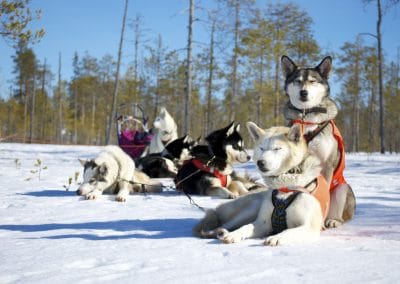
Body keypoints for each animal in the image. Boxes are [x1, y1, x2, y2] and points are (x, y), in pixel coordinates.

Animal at [194, 123, 328, 245]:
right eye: (262, 148)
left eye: (277, 148)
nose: (260, 162)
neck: (285, 187)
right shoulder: (263, 223)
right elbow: (247, 227)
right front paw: (234, 235)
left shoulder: (309, 227)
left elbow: (289, 231)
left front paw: (277, 237)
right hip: (250, 210)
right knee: (224, 225)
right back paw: (217, 232)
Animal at [282, 55, 356, 229]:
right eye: (297, 81)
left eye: (312, 81)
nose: (303, 92)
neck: (306, 117)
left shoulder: (326, 165)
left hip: (342, 187)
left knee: (339, 214)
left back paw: (333, 220)